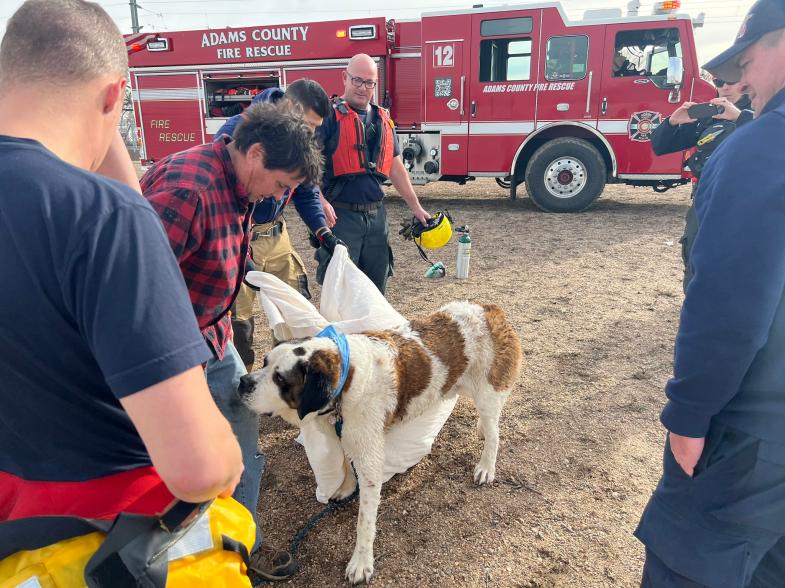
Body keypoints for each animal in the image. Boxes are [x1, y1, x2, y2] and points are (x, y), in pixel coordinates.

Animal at [239, 300, 520, 584]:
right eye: (264, 362)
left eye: (280, 379)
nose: (243, 381)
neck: (345, 380)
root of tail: (487, 308)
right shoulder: (343, 431)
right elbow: (344, 462)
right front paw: (346, 487)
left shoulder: (370, 458)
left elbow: (365, 520)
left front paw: (361, 562)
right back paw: (482, 430)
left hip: (487, 390)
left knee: (495, 433)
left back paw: (486, 466)